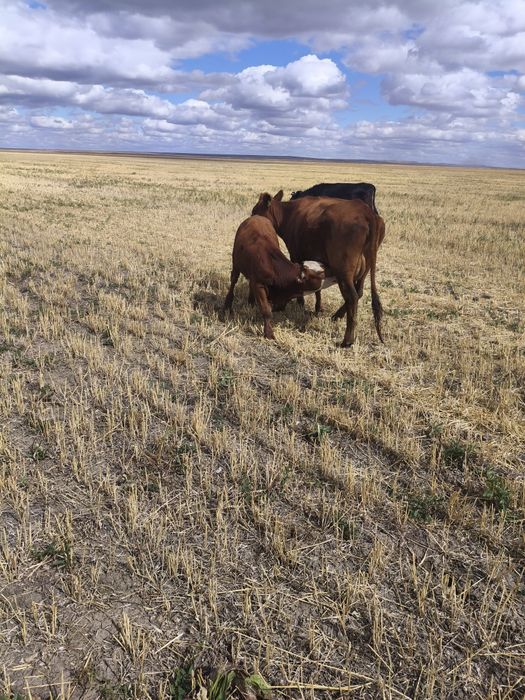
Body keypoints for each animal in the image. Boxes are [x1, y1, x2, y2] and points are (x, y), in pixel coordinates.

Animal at [252, 191, 385, 347]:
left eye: (255, 211)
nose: (251, 220)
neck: (289, 214)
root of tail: (365, 211)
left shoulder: (296, 254)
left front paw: (297, 304)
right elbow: (318, 289)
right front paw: (317, 308)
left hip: (344, 271)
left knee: (352, 297)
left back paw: (347, 340)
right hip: (364, 269)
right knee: (359, 292)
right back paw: (336, 316)